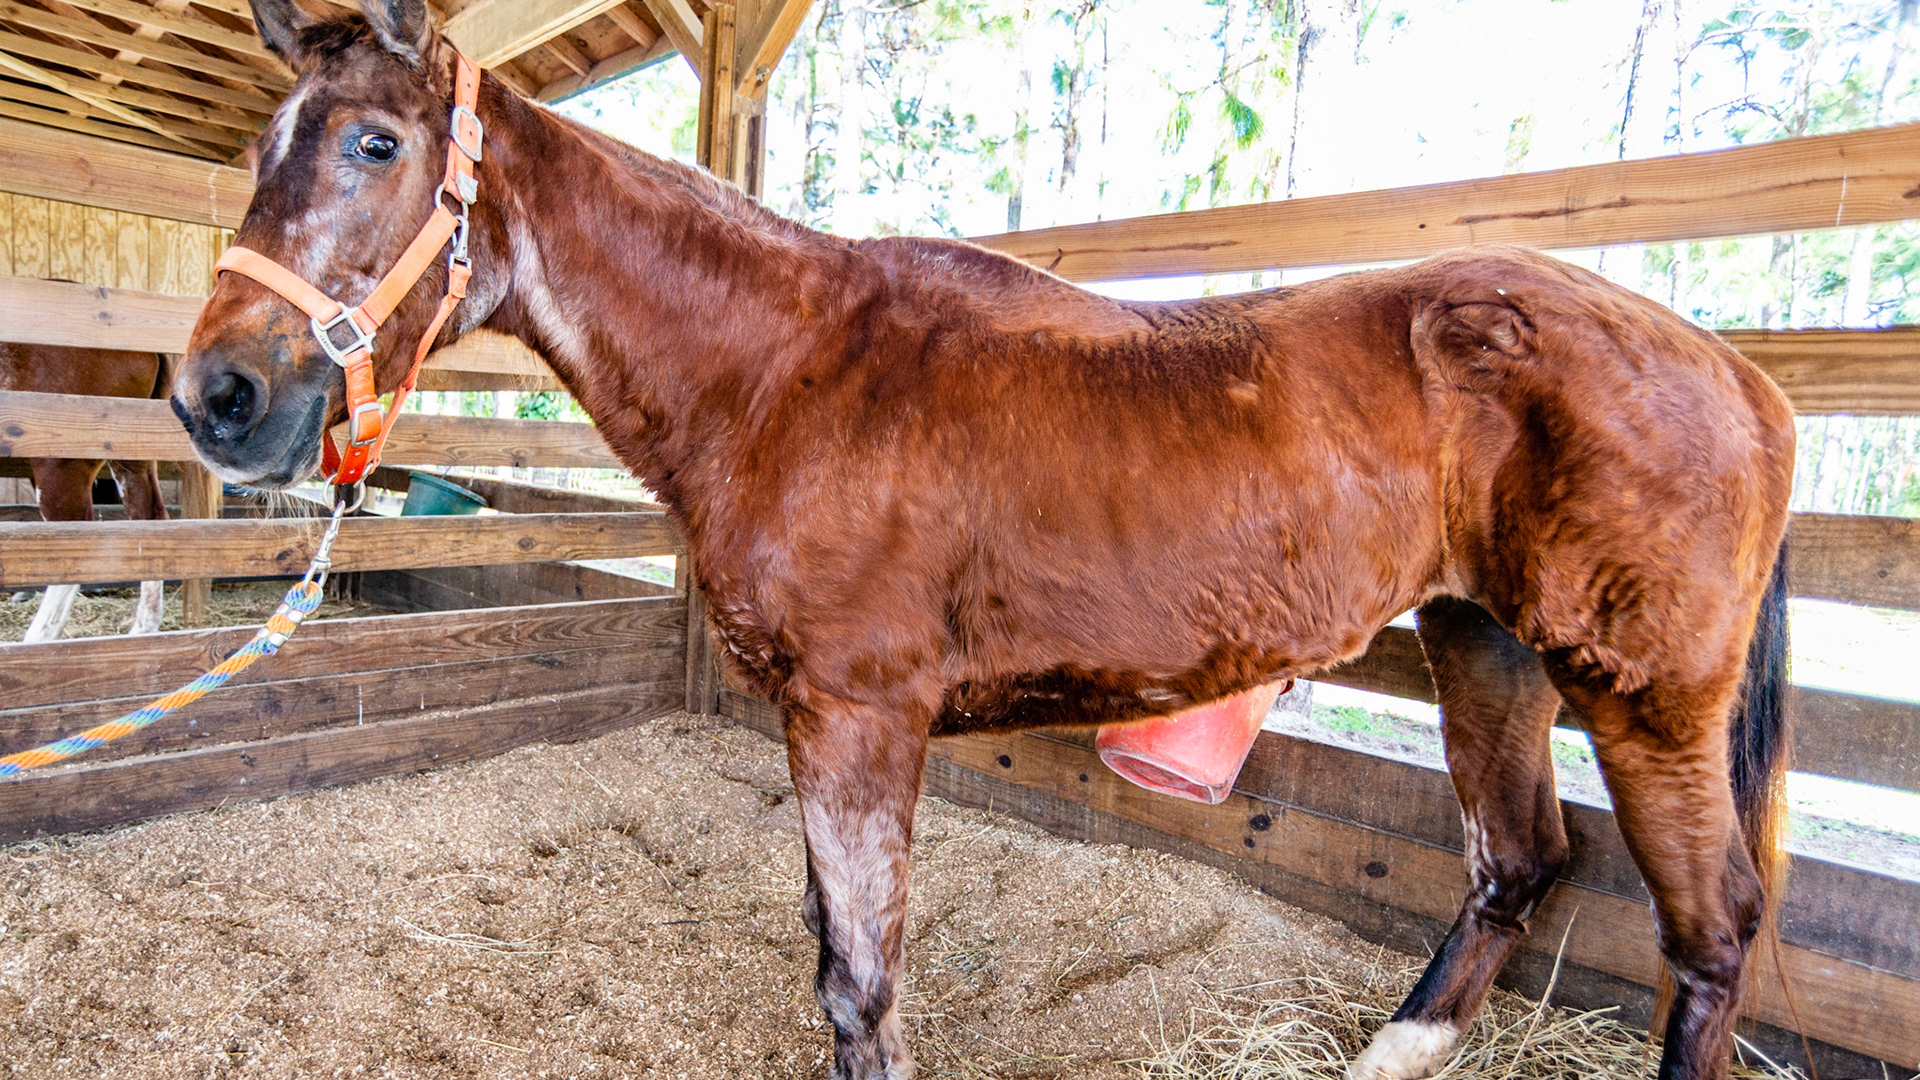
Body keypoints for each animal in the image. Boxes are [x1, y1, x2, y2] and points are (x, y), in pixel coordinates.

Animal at [169, 5, 1796, 1078]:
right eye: (258, 150)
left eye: (375, 142)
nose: (215, 399)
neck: (788, 373)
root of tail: (1738, 372)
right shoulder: (820, 725)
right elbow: (835, 959)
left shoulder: (861, 720)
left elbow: (862, 984)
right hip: (1487, 645)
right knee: (1519, 863)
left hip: (1649, 698)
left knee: (1713, 933)